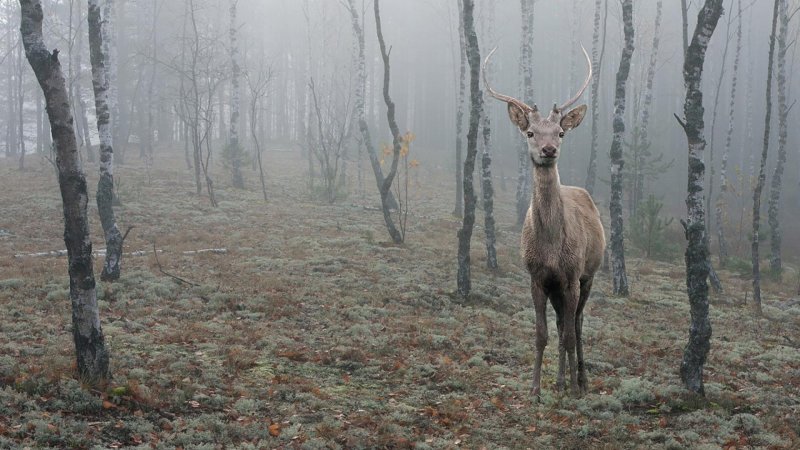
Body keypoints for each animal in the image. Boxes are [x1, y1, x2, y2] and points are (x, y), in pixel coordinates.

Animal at [482, 46, 608, 398]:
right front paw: (536, 389)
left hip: (589, 276)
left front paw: (570, 387)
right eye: (530, 132)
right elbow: (542, 333)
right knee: (563, 323)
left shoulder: (572, 276)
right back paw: (562, 379)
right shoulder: (538, 277)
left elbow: (569, 333)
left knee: (576, 324)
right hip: (557, 287)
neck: (551, 247)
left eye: (561, 132)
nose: (548, 149)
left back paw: (579, 380)